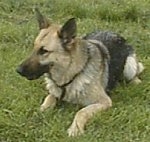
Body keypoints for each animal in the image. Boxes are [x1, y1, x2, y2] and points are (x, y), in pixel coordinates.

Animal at [16, 9, 144, 136]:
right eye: (34, 48)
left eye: (44, 51)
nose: (18, 70)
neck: (72, 74)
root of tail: (113, 33)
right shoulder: (54, 93)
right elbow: (48, 99)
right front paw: (40, 112)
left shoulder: (104, 101)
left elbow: (81, 112)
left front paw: (75, 129)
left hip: (129, 67)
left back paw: (136, 81)